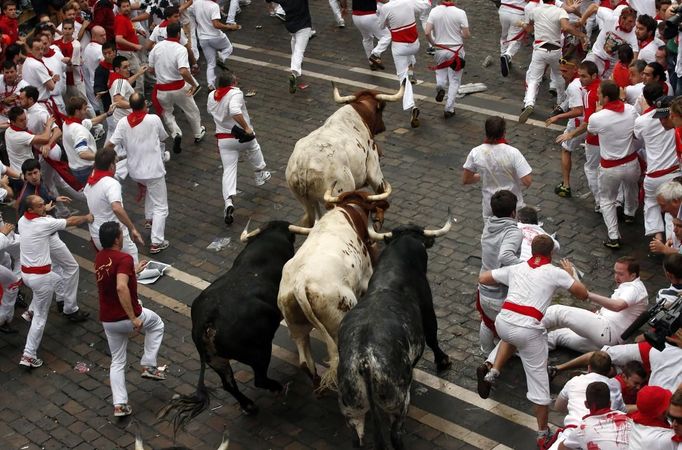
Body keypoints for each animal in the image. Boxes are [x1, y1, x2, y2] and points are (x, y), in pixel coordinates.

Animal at [161, 223, 298, 430]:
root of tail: (206, 321)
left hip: (216, 360)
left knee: (228, 384)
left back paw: (249, 406)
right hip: (259, 352)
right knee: (259, 379)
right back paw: (276, 388)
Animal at [282, 82, 402, 227]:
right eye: (382, 108)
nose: (383, 127)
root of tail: (303, 162)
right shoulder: (374, 171)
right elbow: (381, 192)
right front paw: (378, 219)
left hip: (307, 201)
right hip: (339, 194)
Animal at [336, 227, 452, 450]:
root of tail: (364, 360)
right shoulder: (428, 308)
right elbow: (433, 336)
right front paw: (443, 360)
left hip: (352, 409)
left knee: (357, 439)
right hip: (397, 403)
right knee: (395, 435)